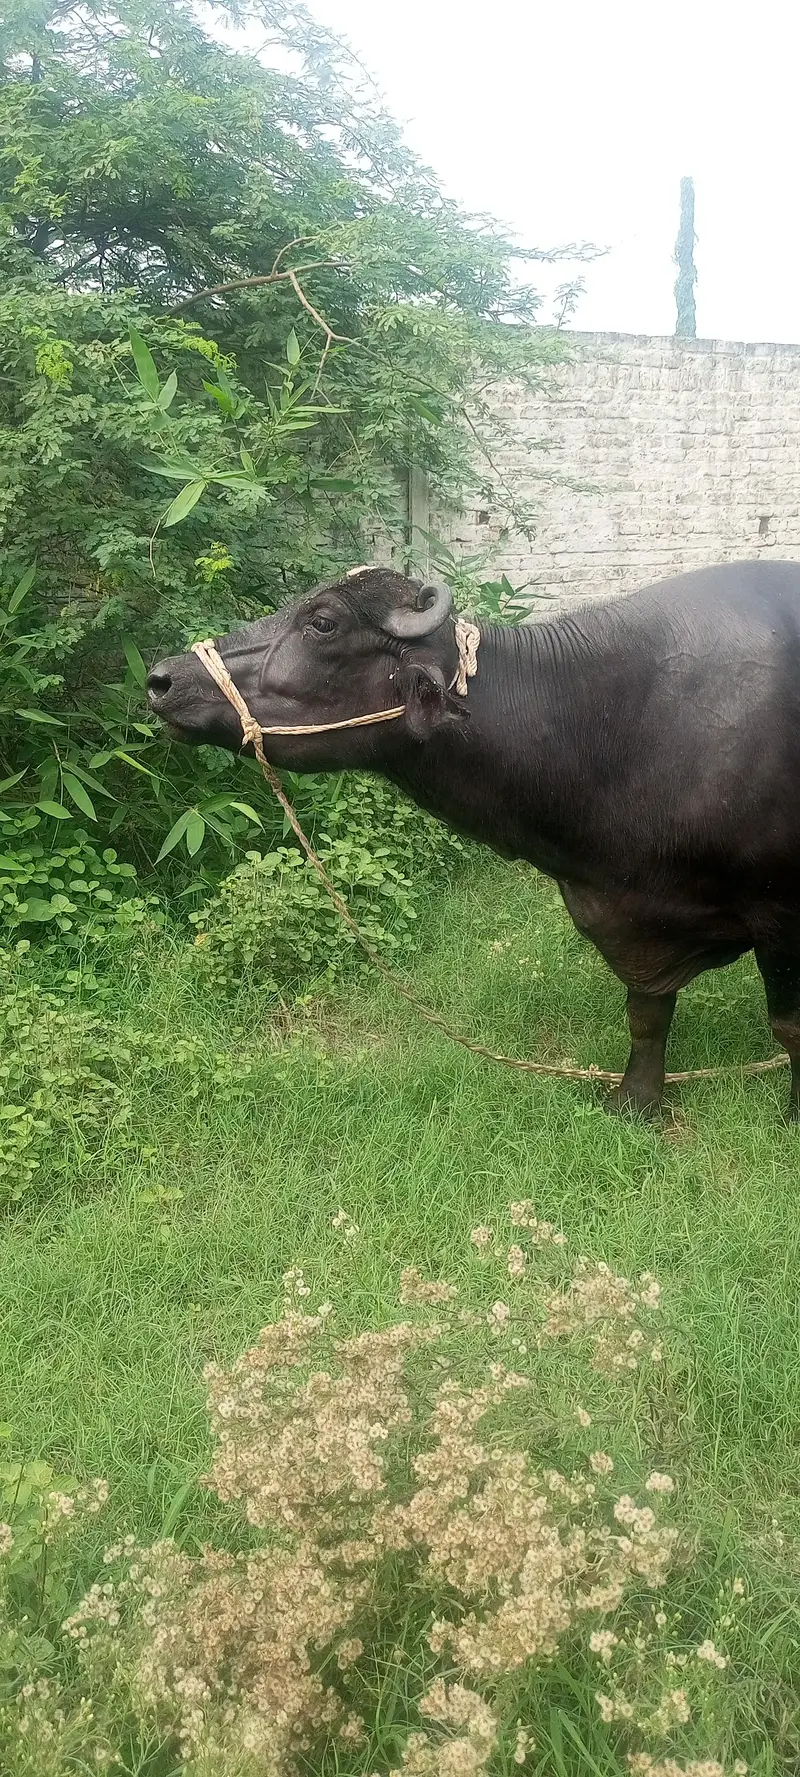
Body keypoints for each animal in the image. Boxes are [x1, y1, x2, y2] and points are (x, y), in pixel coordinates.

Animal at [146, 560, 800, 1121]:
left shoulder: (779, 914)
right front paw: (635, 1100)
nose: (162, 679)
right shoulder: (630, 911)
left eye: (323, 622)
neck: (610, 724)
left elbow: (788, 1027)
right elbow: (646, 1011)